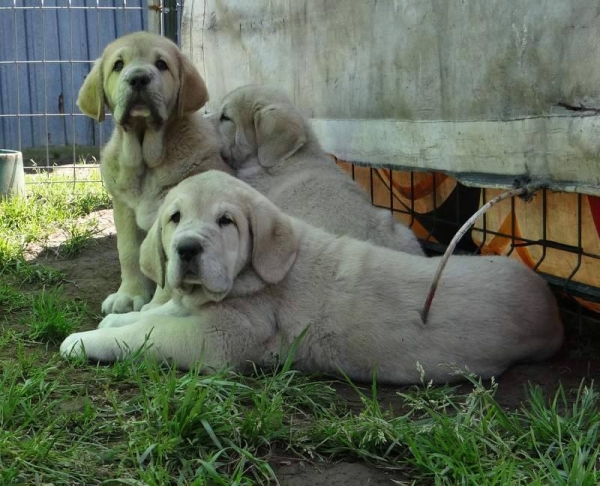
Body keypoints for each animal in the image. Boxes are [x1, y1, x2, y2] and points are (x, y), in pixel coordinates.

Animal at [59, 171, 564, 384]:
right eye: (174, 218)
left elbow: (150, 332)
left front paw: (83, 340)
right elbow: (157, 313)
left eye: (226, 222)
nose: (186, 249)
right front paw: (116, 319)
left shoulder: (218, 339)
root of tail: (552, 308)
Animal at [76, 30, 231, 314]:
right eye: (118, 65)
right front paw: (129, 294)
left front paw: (157, 305)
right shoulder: (124, 209)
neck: (145, 163)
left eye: (161, 64)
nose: (138, 78)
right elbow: (129, 253)